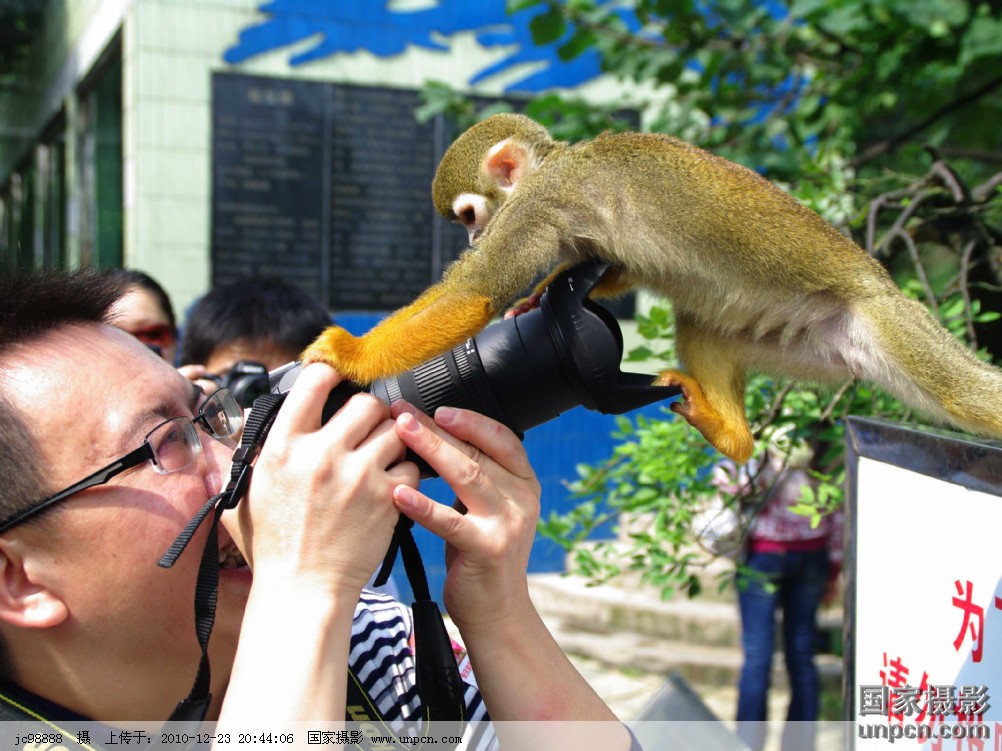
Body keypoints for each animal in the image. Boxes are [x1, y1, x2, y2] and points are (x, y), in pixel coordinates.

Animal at [302, 112, 1002, 463]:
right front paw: (545, 293)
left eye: (470, 216)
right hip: (807, 340)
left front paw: (348, 354)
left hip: (886, 321)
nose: (474, 237)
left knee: (967, 396)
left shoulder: (537, 205)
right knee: (701, 319)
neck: (554, 163)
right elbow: (619, 266)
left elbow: (472, 296)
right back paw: (733, 435)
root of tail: (878, 288)